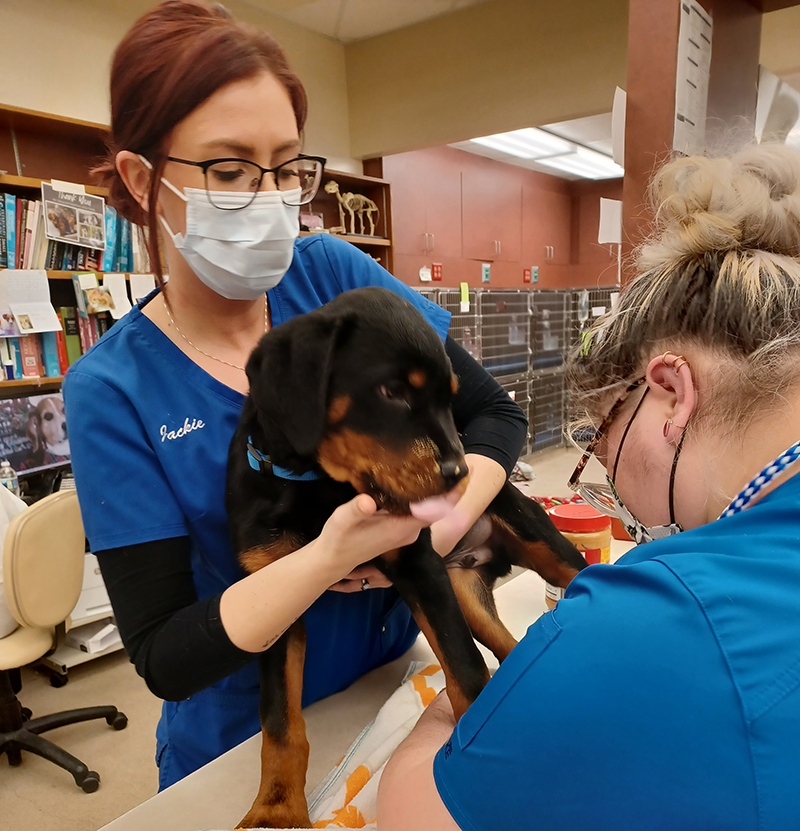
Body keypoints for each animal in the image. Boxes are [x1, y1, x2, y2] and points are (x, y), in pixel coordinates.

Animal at [227, 288, 588, 831]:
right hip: (463, 591)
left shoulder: (420, 567)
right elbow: (280, 722)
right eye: (392, 391)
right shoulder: (273, 598)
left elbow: (465, 670)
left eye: (448, 398)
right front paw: (276, 810)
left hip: (535, 545)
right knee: (505, 647)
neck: (319, 486)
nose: (460, 475)